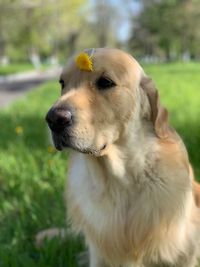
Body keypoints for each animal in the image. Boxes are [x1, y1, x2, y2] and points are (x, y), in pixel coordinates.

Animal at [45, 48, 200, 267]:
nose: (54, 119)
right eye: (62, 83)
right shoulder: (98, 252)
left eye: (105, 82)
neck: (119, 180)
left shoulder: (185, 250)